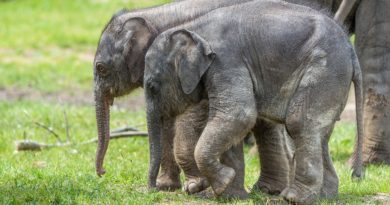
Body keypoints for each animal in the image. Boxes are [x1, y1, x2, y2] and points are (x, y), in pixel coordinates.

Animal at [145, 0, 364, 204]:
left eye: (152, 86)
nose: (154, 189)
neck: (194, 28)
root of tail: (351, 51)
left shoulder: (227, 62)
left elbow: (238, 115)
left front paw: (223, 181)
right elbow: (230, 123)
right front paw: (231, 196)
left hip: (325, 70)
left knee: (299, 124)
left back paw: (294, 197)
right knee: (319, 135)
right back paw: (325, 197)